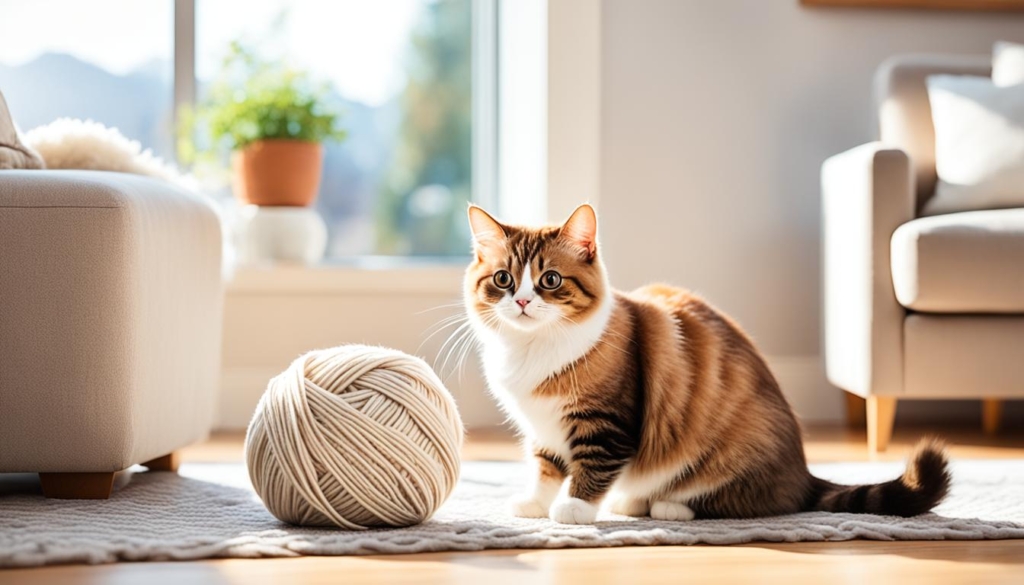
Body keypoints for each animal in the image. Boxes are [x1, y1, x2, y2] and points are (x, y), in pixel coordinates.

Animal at [464, 203, 950, 524]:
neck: (531, 351)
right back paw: (632, 502)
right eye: (504, 279)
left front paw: (574, 508)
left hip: (730, 456)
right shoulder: (543, 428)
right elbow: (546, 468)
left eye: (550, 280)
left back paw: (667, 506)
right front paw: (534, 504)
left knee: (743, 501)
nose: (522, 301)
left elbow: (592, 467)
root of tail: (803, 473)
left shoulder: (606, 422)